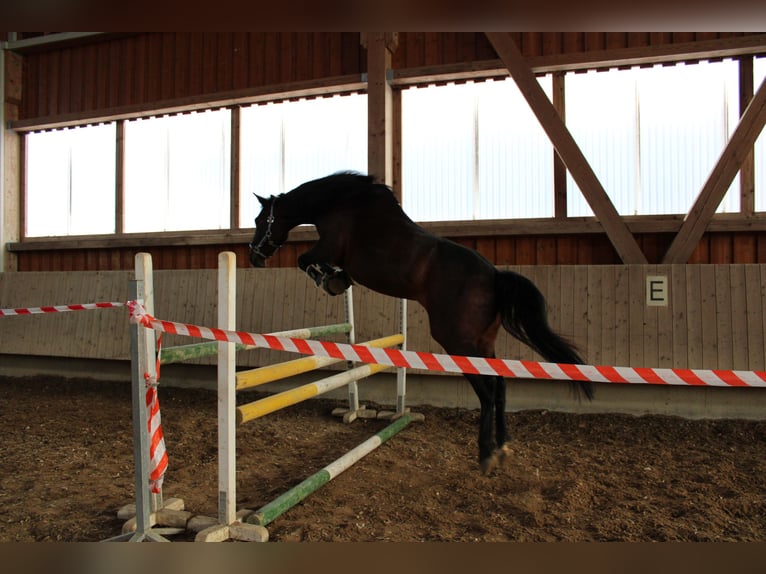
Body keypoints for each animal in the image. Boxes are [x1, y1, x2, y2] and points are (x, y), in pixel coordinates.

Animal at [249, 172, 592, 476]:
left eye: (259, 221)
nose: (253, 258)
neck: (340, 202)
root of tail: (495, 276)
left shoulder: (328, 247)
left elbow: (304, 260)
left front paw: (330, 280)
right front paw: (336, 279)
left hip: (457, 341)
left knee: (487, 391)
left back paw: (486, 454)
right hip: (483, 343)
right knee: (500, 386)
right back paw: (503, 447)